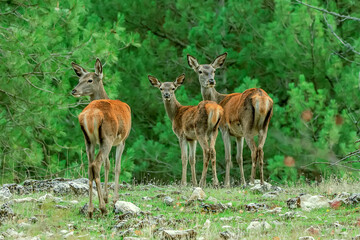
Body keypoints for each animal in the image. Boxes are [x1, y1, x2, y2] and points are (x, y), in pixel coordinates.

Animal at [71, 58, 131, 218]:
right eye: (79, 79)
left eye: (89, 80)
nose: (74, 90)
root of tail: (90, 115)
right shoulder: (122, 140)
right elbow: (117, 167)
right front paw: (113, 199)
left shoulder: (101, 141)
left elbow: (108, 165)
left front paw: (105, 196)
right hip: (108, 137)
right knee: (96, 165)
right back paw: (102, 208)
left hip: (89, 140)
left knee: (90, 167)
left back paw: (91, 209)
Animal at [188, 53, 272, 188]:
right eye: (200, 71)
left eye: (214, 71)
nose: (211, 81)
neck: (218, 99)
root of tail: (262, 99)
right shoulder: (239, 135)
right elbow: (239, 158)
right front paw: (242, 182)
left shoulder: (224, 128)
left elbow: (228, 157)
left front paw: (227, 183)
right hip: (265, 127)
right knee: (261, 150)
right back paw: (262, 182)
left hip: (247, 124)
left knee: (254, 150)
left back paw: (252, 181)